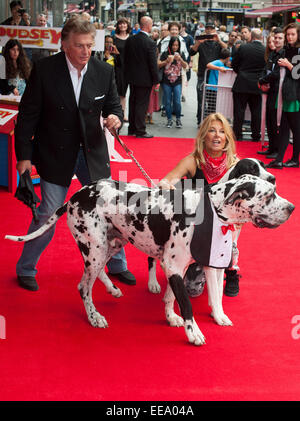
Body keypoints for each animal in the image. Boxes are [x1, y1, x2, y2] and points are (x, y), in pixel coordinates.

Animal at [5, 173, 296, 344]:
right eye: (269, 195)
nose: (292, 208)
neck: (210, 211)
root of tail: (75, 196)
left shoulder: (194, 266)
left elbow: (190, 297)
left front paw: (182, 318)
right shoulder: (175, 266)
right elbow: (186, 304)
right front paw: (193, 332)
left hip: (111, 244)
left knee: (97, 273)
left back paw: (112, 290)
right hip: (95, 248)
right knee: (83, 287)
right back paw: (94, 316)